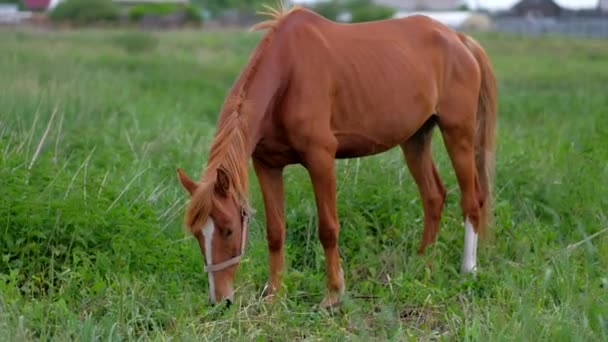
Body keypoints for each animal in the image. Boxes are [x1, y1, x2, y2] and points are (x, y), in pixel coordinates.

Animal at [177, 4, 498, 308]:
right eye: (197, 234)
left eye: (229, 230)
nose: (220, 301)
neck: (288, 75)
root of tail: (459, 39)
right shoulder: (267, 165)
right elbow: (275, 232)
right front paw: (274, 296)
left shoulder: (320, 159)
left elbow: (328, 228)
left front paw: (333, 295)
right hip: (416, 139)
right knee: (433, 197)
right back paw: (422, 263)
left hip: (458, 133)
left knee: (471, 200)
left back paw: (468, 269)